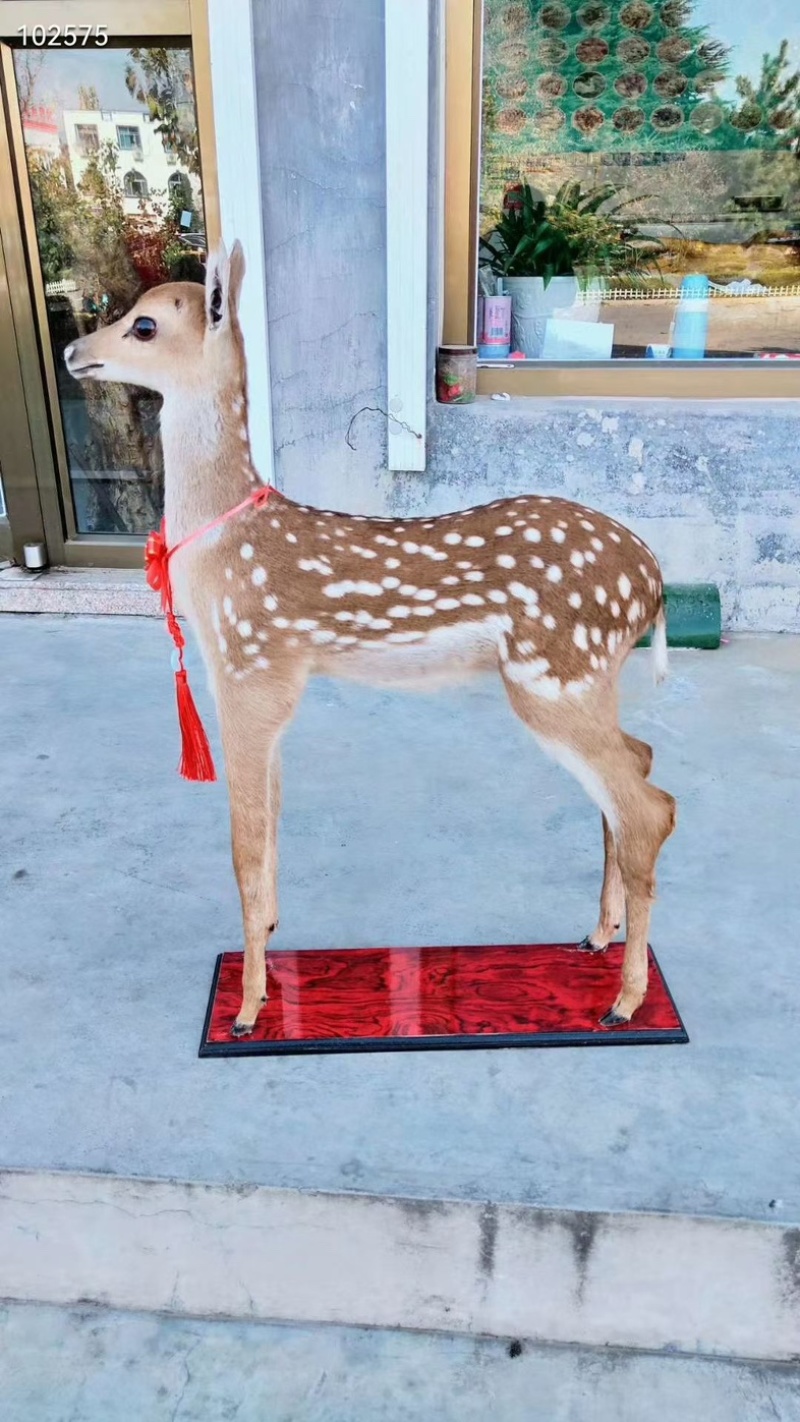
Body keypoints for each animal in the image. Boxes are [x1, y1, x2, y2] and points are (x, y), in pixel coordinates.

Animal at [64, 241, 677, 1038]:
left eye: (142, 325)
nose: (72, 351)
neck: (223, 544)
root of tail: (655, 579)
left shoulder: (248, 664)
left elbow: (243, 843)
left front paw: (249, 1008)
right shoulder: (274, 684)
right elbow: (272, 822)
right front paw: (269, 946)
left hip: (555, 673)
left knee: (649, 807)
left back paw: (625, 1000)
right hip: (582, 678)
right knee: (637, 767)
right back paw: (597, 937)